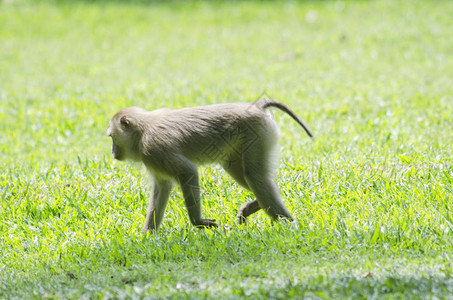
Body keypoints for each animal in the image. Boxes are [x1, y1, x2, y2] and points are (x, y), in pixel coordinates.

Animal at [106, 99, 312, 231]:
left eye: (112, 137)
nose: (112, 151)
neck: (142, 130)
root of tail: (257, 108)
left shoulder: (154, 148)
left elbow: (188, 172)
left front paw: (197, 221)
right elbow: (162, 187)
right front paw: (148, 235)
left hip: (258, 133)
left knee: (254, 176)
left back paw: (289, 224)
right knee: (242, 171)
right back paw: (257, 205)